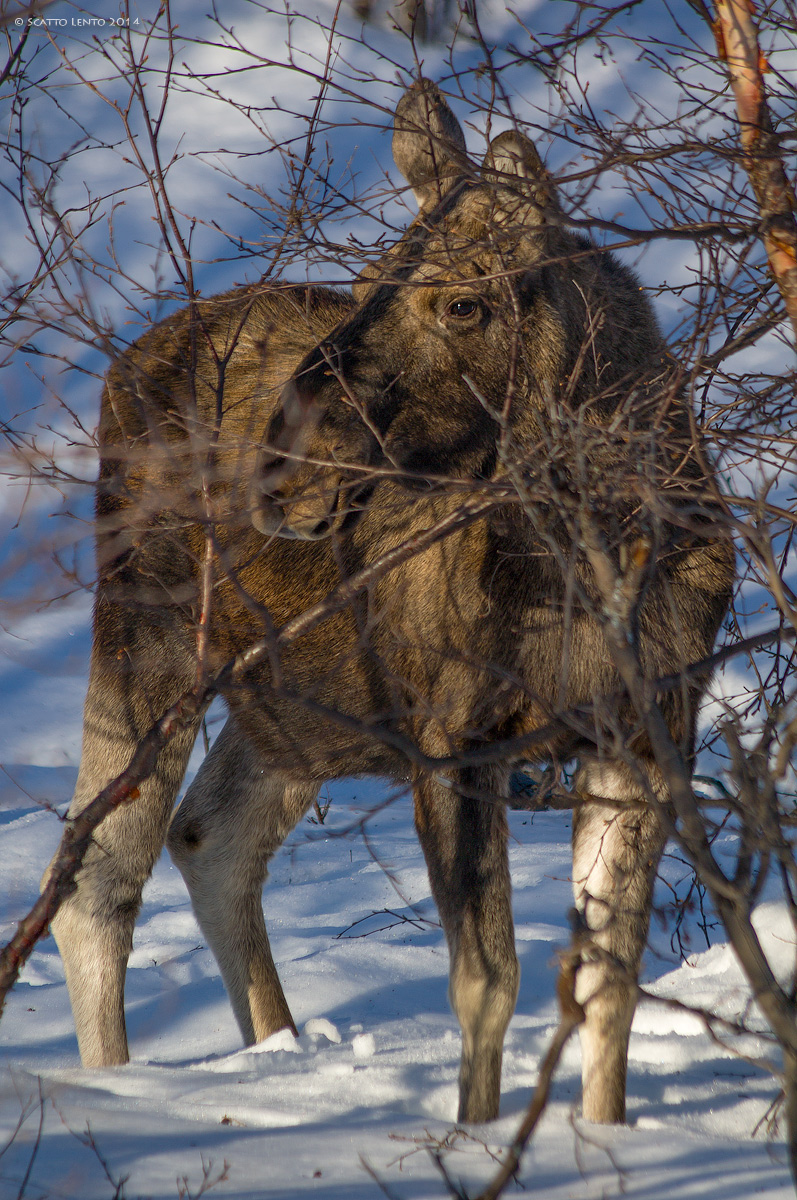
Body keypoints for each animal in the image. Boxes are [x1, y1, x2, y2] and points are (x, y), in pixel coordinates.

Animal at [48, 79, 734, 1128]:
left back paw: (275, 1048)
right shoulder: (454, 730)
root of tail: (127, 363)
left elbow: (606, 980)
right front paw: (477, 1133)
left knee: (209, 834)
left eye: (462, 300)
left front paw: (604, 1131)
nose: (282, 469)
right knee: (101, 871)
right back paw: (117, 1090)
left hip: (301, 692)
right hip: (147, 624)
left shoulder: (649, 724)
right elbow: (486, 981)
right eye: (369, 276)